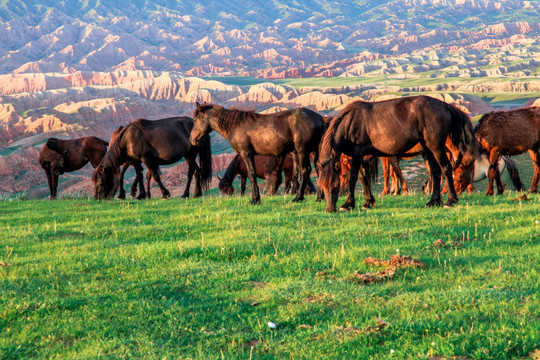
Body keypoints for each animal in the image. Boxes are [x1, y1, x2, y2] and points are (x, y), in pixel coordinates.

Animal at [191, 103, 322, 205]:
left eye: (196, 120)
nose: (192, 139)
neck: (236, 126)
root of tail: (320, 118)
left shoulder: (246, 153)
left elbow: (252, 174)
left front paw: (255, 199)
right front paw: (256, 198)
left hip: (302, 151)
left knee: (305, 171)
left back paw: (298, 198)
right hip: (313, 152)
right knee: (319, 169)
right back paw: (319, 198)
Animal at [318, 96, 478, 214]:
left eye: (336, 184)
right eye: (321, 185)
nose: (330, 209)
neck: (350, 122)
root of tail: (445, 105)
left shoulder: (357, 153)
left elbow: (353, 178)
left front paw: (348, 203)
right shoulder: (361, 155)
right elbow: (364, 178)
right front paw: (368, 202)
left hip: (436, 147)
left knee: (446, 168)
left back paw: (450, 200)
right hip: (428, 149)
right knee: (436, 172)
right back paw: (433, 201)